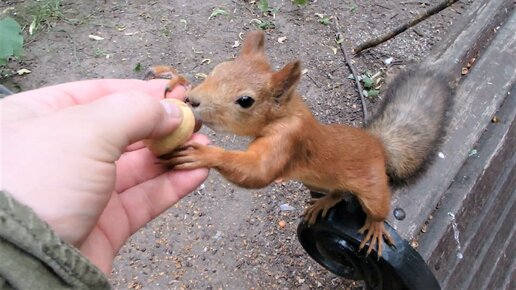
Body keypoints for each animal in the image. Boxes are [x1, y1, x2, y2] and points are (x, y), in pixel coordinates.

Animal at [149, 30, 452, 256]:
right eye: (217, 69)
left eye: (245, 101)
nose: (193, 100)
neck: (286, 113)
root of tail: (377, 144)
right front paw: (176, 78)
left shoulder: (289, 139)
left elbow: (258, 171)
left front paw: (205, 154)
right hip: (318, 181)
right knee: (339, 192)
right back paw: (324, 202)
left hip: (373, 186)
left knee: (377, 208)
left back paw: (375, 227)